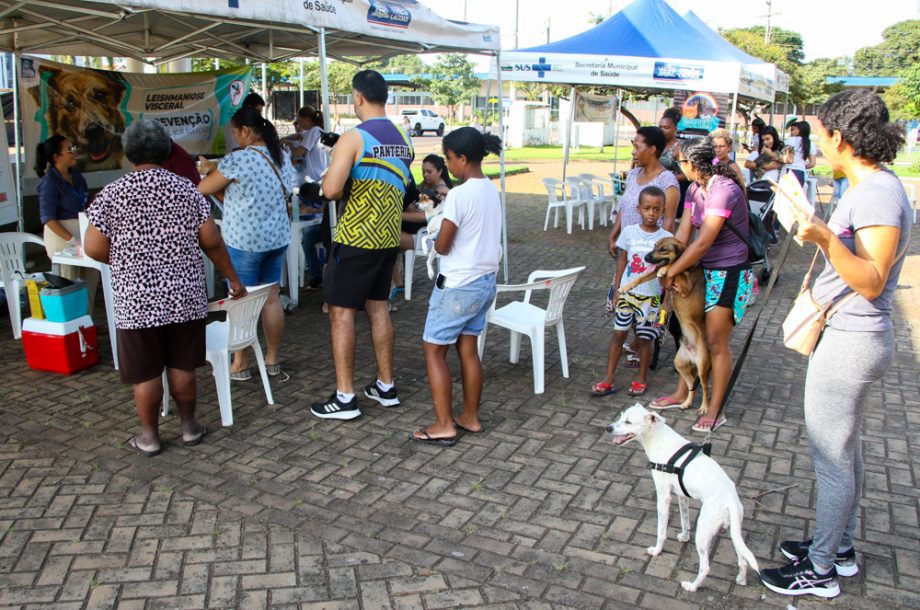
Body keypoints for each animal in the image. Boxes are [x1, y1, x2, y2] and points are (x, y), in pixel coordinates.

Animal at [608, 404, 760, 588]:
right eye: (621, 416)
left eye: (628, 422)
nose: (608, 428)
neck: (659, 439)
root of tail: (730, 499)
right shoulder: (682, 496)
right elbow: (684, 520)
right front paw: (684, 537)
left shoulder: (663, 497)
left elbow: (661, 531)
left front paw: (657, 551)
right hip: (734, 531)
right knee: (743, 559)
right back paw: (741, 580)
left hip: (703, 533)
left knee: (705, 567)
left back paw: (692, 586)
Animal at [620, 236, 712, 414]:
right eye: (655, 246)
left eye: (663, 249)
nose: (646, 257)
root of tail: (693, 353)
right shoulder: (654, 273)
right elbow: (643, 276)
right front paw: (626, 286)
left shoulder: (684, 288)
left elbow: (674, 270)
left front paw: (667, 269)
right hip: (680, 364)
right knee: (691, 385)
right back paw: (686, 403)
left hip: (703, 366)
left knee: (705, 388)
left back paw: (704, 407)